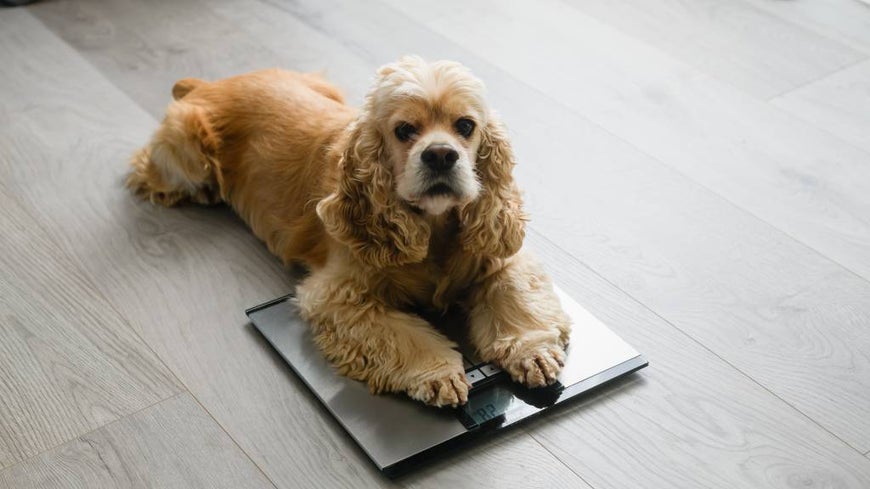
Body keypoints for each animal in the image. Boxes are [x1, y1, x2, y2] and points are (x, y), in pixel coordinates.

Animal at [127, 55, 572, 406]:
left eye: (465, 125)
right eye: (404, 130)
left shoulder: (499, 255)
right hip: (188, 151)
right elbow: (399, 334)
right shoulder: (337, 296)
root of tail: (209, 84)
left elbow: (513, 293)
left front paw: (532, 350)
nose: (441, 156)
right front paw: (438, 373)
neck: (432, 226)